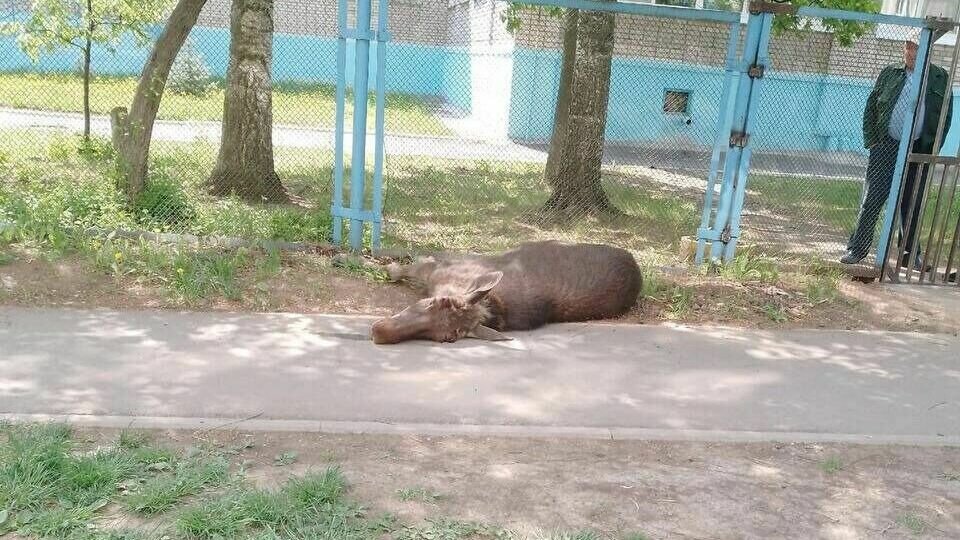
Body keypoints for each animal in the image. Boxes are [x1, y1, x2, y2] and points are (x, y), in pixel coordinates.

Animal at [372, 242, 640, 346]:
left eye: (447, 338)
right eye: (438, 301)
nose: (378, 331)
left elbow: (404, 268)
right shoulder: (438, 271)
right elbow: (401, 269)